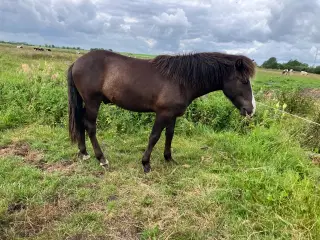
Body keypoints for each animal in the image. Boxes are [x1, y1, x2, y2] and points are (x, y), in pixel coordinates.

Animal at [66, 50, 256, 172]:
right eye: (244, 80)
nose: (251, 109)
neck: (181, 80)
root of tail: (77, 62)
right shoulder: (162, 114)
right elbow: (154, 136)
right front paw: (145, 163)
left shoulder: (172, 115)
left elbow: (169, 135)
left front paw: (169, 158)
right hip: (93, 101)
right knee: (90, 126)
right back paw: (102, 159)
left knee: (81, 122)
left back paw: (84, 153)